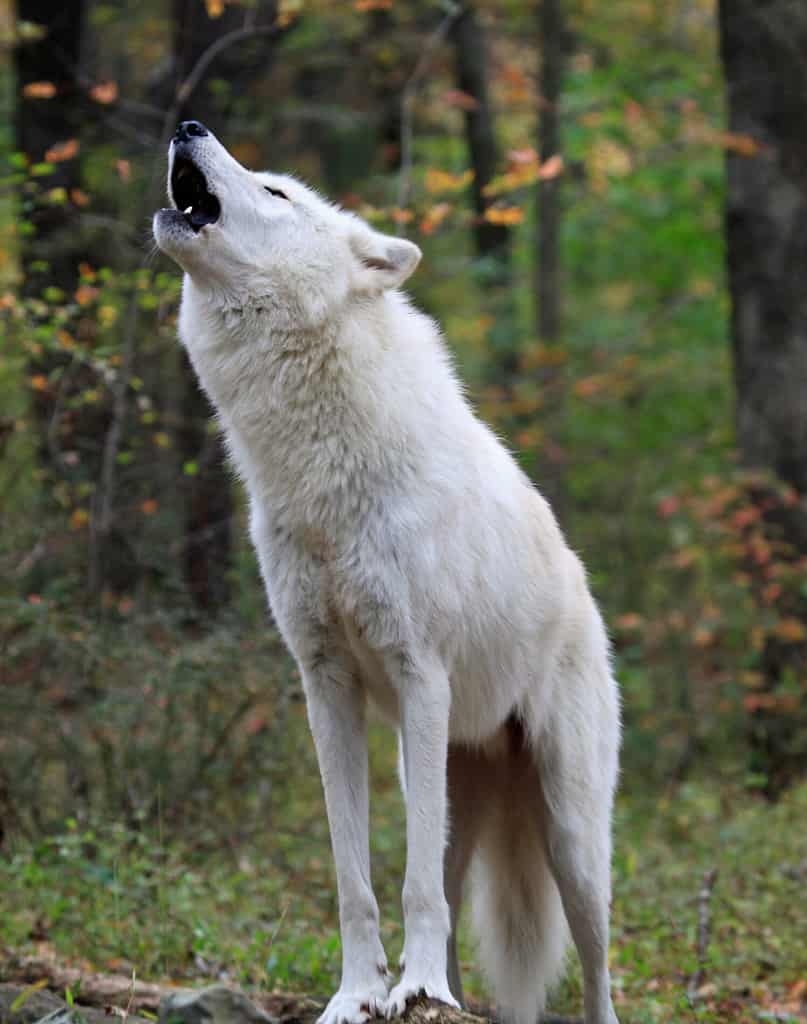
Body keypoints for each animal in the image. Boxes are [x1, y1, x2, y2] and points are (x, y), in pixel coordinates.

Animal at [155, 121, 622, 1024]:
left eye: (276, 191)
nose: (188, 127)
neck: (313, 474)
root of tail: (587, 596)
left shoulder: (419, 673)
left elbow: (411, 889)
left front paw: (416, 988)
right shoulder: (325, 684)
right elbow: (357, 881)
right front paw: (359, 995)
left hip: (570, 836)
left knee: (591, 962)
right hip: (440, 779)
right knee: (451, 895)